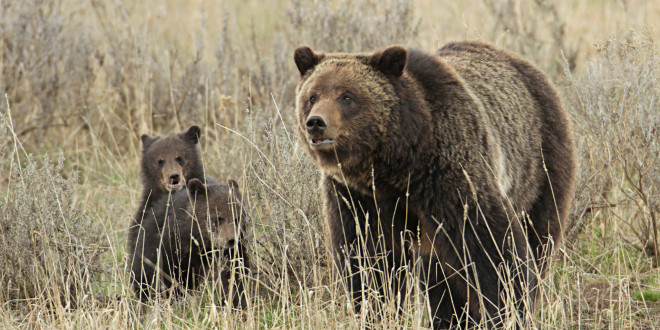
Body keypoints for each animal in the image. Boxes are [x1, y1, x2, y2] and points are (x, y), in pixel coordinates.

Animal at [294, 42, 576, 328]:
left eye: (347, 96)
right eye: (313, 96)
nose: (316, 122)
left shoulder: (449, 174)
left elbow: (491, 247)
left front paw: (507, 311)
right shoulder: (356, 197)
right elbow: (368, 259)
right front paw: (377, 311)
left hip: (540, 165)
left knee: (540, 236)